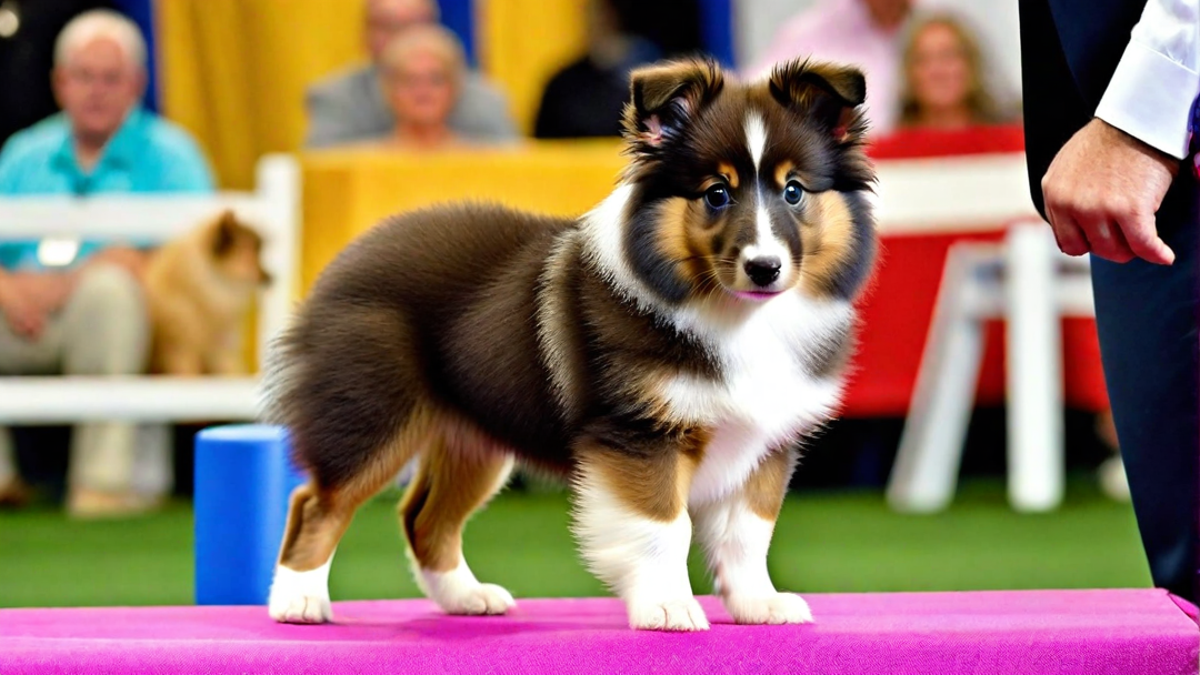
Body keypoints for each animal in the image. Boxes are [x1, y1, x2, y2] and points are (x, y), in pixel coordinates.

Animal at [145, 210, 270, 374]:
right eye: (252, 256)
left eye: (259, 253)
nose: (271, 277)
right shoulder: (181, 352)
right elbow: (188, 372)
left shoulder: (220, 350)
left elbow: (232, 369)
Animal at [262, 57, 878, 629]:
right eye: (716, 194)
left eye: (794, 191)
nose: (764, 267)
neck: (736, 315)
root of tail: (353, 250)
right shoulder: (638, 434)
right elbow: (664, 528)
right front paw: (667, 608)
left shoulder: (763, 440)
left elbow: (748, 534)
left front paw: (760, 605)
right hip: (370, 413)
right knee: (317, 501)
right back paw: (297, 601)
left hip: (475, 438)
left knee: (424, 517)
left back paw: (467, 598)